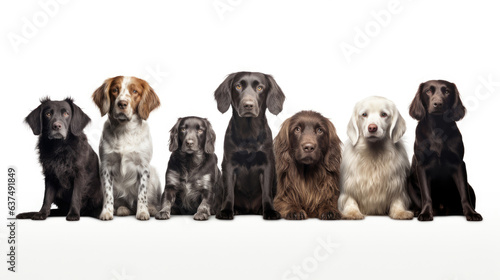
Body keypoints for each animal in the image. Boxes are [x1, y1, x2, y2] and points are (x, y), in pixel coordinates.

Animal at [214, 71, 286, 220]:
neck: (249, 134)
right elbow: (229, 192)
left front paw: (269, 211)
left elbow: (266, 192)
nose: (248, 105)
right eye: (238, 86)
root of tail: (249, 210)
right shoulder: (228, 164)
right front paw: (226, 211)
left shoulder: (268, 163)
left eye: (260, 88)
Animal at [408, 80, 482, 222]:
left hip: (470, 187)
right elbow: (426, 194)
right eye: (428, 91)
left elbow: (464, 194)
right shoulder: (422, 166)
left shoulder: (459, 164)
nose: (438, 104)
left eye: (447, 91)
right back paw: (416, 211)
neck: (437, 128)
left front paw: (471, 213)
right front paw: (425, 213)